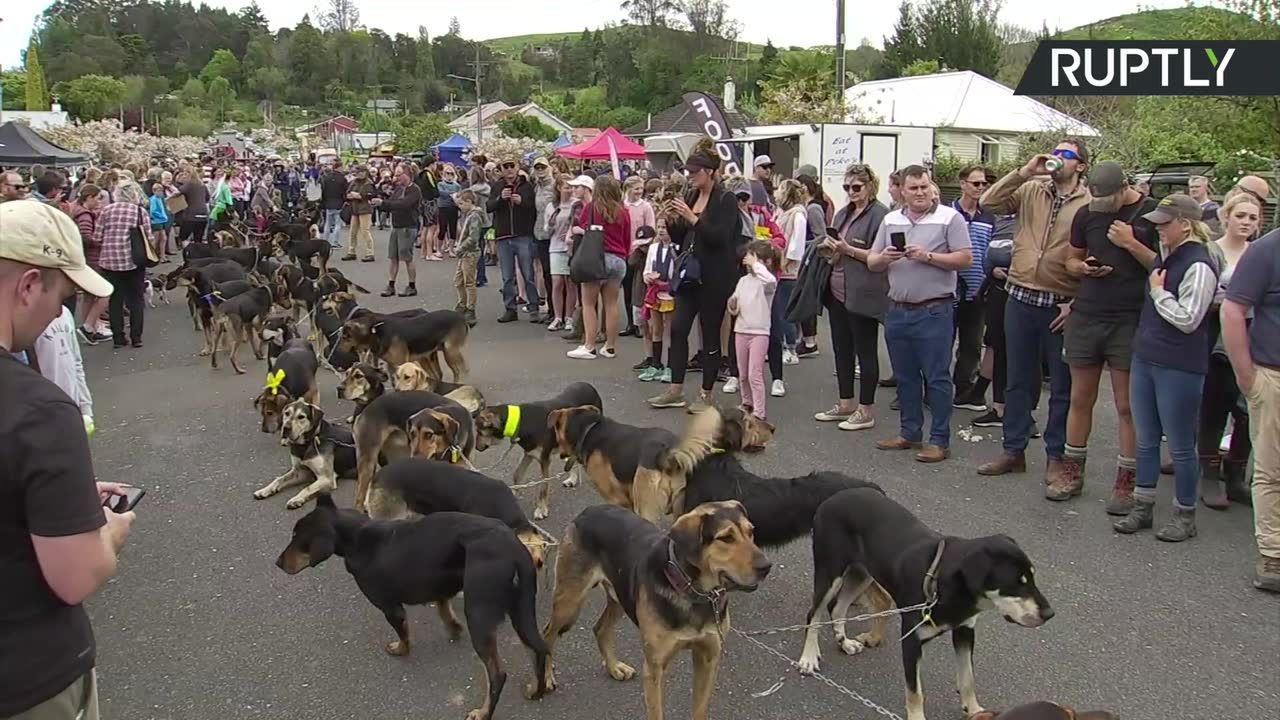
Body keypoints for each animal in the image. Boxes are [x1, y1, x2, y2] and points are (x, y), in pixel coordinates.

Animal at [277, 497, 552, 717]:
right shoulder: (439, 583)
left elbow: (404, 633)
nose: (278, 563)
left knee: (497, 674)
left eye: (298, 540)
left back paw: (483, 713)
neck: (356, 535)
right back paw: (537, 690)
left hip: (480, 615)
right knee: (540, 649)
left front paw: (400, 649)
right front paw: (453, 630)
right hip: (521, 611)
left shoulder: (390, 606)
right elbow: (443, 609)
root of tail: (515, 550)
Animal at [540, 499, 768, 717]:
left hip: (621, 595)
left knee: (600, 628)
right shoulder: (654, 668)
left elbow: (700, 709)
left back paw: (614, 668)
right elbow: (656, 712)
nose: (767, 567)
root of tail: (587, 511)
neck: (693, 592)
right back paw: (547, 677)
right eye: (726, 538)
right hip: (570, 600)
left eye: (751, 532)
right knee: (548, 633)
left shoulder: (708, 658)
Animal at [798, 484, 1059, 717]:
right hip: (830, 572)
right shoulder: (912, 641)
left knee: (837, 608)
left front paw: (975, 710)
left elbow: (968, 679)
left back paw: (844, 642)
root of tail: (833, 497)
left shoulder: (965, 631)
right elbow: (915, 693)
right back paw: (808, 658)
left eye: (1032, 577)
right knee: (814, 613)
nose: (1049, 614)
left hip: (861, 573)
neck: (945, 584)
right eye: (1016, 583)